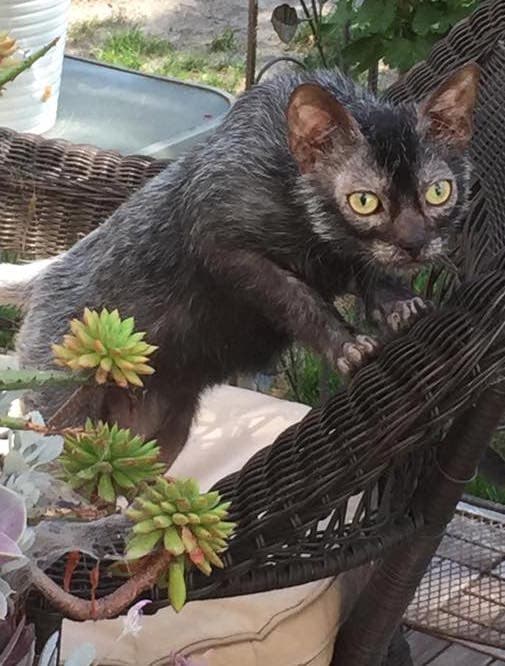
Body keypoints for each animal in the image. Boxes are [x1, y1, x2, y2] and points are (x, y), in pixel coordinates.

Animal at [10, 65, 476, 464]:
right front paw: (346, 345)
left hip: (160, 434)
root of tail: (46, 274)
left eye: (439, 192)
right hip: (59, 412)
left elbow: (370, 271)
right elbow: (296, 297)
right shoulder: (224, 247)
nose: (415, 245)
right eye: (364, 201)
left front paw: (401, 305)